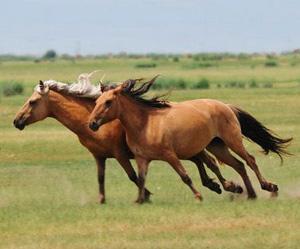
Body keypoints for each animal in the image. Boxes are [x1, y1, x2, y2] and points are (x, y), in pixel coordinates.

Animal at [12, 75, 244, 203]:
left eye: (32, 102)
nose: (16, 121)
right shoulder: (100, 157)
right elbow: (101, 178)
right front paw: (102, 200)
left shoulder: (120, 154)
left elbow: (133, 176)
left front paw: (146, 196)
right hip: (189, 149)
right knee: (203, 162)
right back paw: (219, 185)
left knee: (209, 162)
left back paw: (228, 186)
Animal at [88, 77, 292, 203]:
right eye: (96, 102)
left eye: (108, 102)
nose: (92, 124)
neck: (145, 124)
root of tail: (226, 106)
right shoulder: (142, 159)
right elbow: (141, 178)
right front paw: (139, 200)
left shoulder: (170, 155)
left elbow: (184, 176)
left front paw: (199, 196)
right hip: (217, 146)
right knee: (239, 165)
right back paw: (250, 194)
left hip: (232, 141)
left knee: (250, 160)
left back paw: (268, 186)